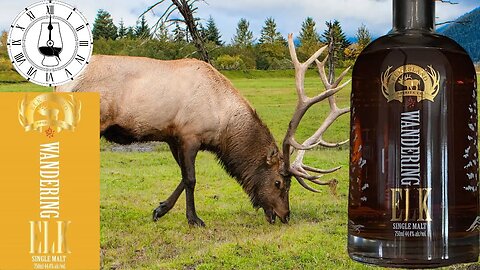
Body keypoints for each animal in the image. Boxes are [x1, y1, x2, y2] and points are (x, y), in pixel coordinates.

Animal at [55, 34, 348, 227]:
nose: (285, 215)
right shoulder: (190, 135)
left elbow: (182, 177)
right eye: (279, 182)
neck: (222, 125)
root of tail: (61, 84)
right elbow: (191, 179)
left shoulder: (173, 136)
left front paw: (160, 210)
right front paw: (194, 219)